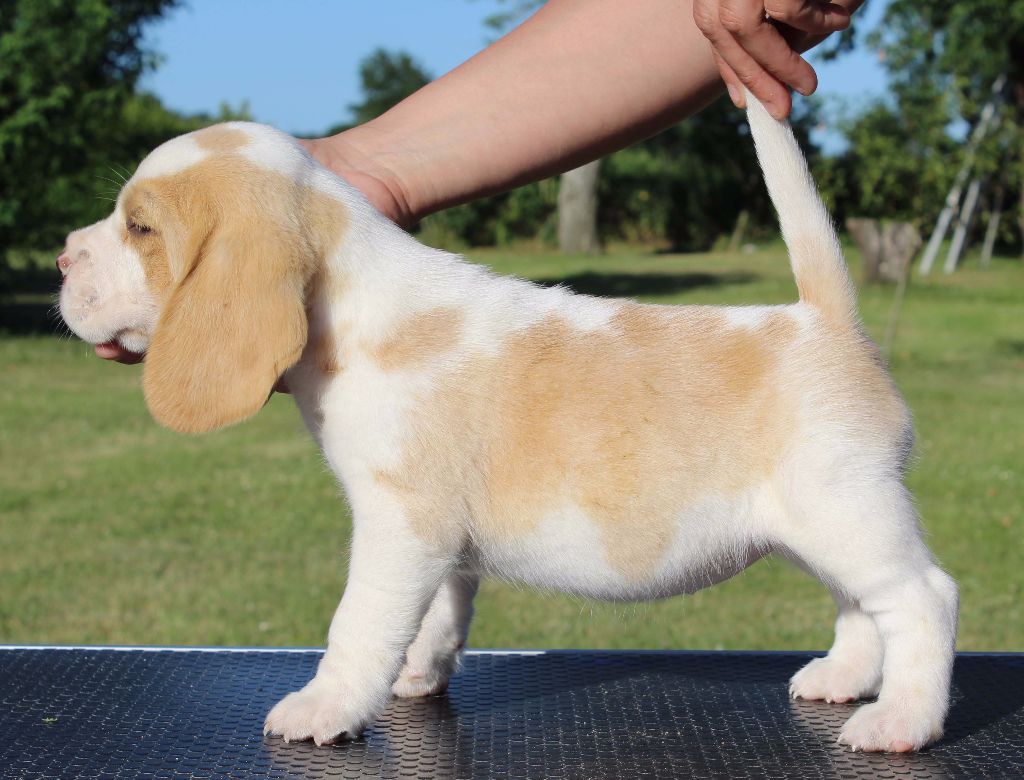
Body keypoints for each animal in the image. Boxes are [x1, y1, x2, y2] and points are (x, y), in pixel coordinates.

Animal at [56, 94, 954, 749]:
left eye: (141, 228)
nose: (63, 257)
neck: (354, 308)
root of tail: (825, 320)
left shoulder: (399, 528)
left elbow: (359, 625)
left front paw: (325, 708)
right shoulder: (441, 549)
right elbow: (436, 619)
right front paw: (417, 677)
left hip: (845, 510)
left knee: (923, 599)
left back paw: (901, 720)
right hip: (817, 522)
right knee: (862, 606)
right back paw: (843, 678)